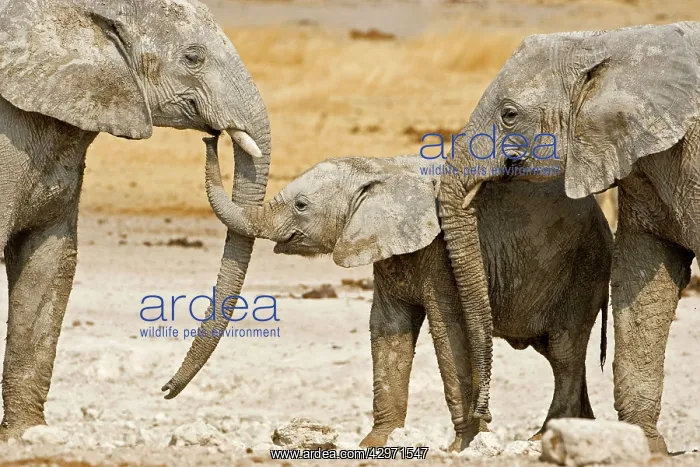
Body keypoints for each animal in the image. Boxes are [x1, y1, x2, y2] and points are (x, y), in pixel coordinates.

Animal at [200, 136, 612, 450]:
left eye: (301, 206)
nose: (211, 138)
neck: (379, 168)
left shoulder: (441, 254)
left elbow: (448, 330)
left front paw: (462, 447)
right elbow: (388, 329)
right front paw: (376, 444)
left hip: (585, 267)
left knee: (564, 351)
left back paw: (544, 436)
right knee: (559, 354)